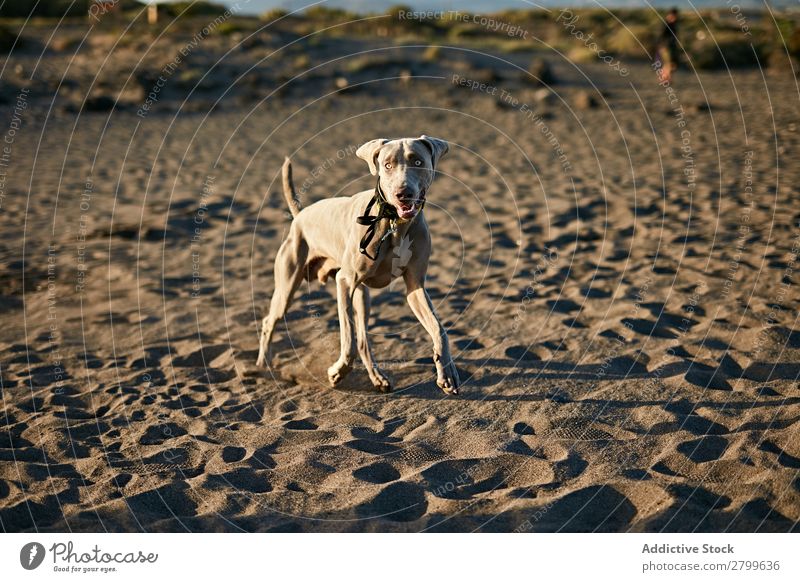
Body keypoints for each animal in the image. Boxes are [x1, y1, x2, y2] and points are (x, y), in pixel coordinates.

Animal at [253, 135, 460, 394]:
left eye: (418, 161)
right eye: (387, 165)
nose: (403, 193)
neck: (393, 223)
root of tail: (300, 215)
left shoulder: (415, 287)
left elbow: (439, 330)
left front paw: (447, 373)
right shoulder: (344, 281)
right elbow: (347, 338)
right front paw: (337, 372)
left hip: (362, 295)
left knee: (363, 340)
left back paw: (378, 378)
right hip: (288, 286)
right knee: (270, 321)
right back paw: (263, 364)